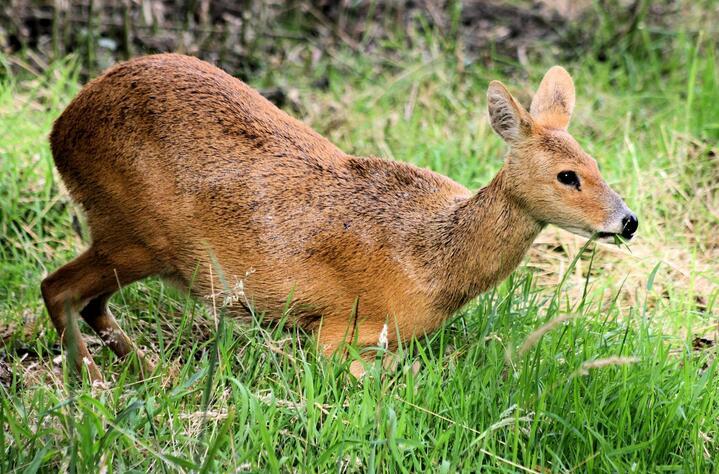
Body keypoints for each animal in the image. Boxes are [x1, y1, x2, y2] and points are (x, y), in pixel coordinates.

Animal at [40, 53, 636, 384]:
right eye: (567, 175)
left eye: (596, 162)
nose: (627, 220)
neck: (434, 258)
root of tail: (60, 129)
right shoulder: (340, 330)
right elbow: (393, 373)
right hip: (134, 231)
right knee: (58, 289)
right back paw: (96, 383)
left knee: (87, 301)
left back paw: (150, 373)